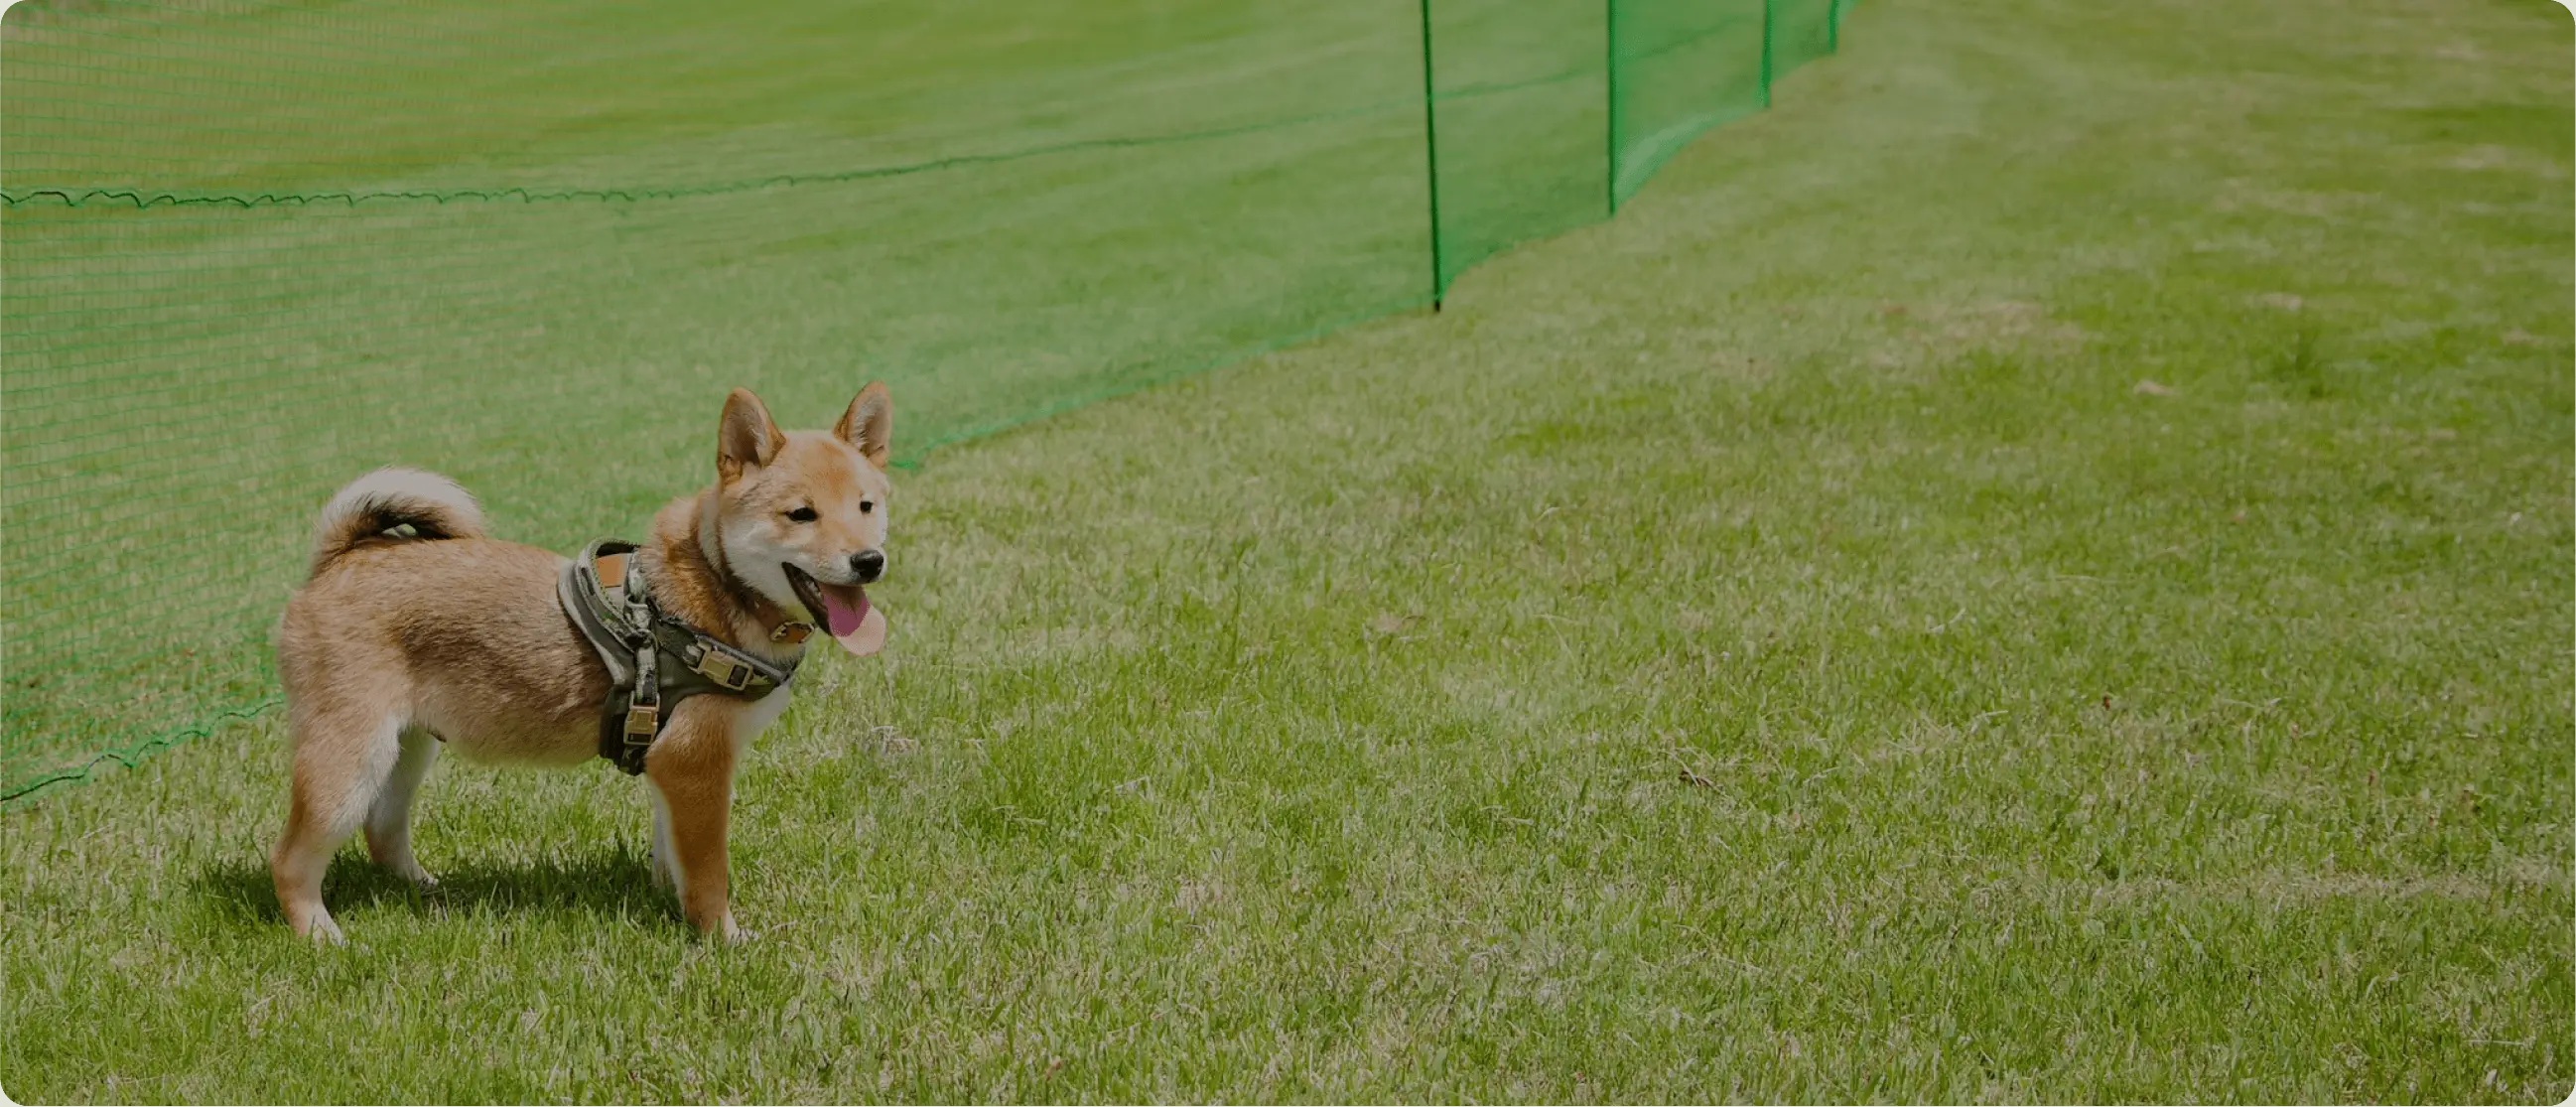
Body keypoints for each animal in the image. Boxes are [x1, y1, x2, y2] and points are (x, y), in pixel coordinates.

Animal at [269, 385, 896, 942]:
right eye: (801, 514)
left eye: (867, 507)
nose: (869, 560)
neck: (720, 590)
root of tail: (343, 558)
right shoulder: (696, 764)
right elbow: (709, 873)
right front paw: (723, 938)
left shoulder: (669, 766)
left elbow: (673, 857)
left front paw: (669, 905)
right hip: (350, 763)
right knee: (290, 859)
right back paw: (319, 935)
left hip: (407, 748)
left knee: (382, 831)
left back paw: (425, 889)